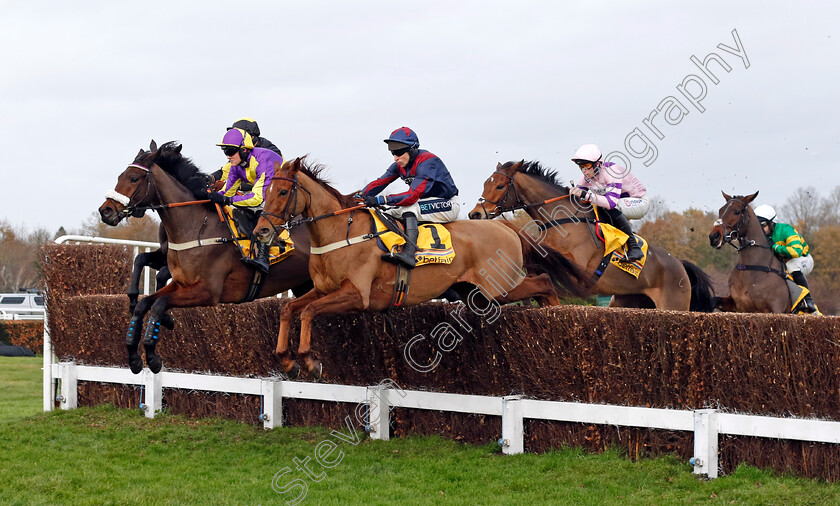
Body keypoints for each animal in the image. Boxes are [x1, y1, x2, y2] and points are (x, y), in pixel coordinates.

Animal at [98, 140, 314, 374]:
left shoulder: (207, 292)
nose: (106, 211)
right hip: (304, 284)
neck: (196, 226)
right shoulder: (179, 280)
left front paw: (153, 353)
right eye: (121, 176)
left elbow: (158, 303)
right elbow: (144, 299)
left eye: (134, 178)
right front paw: (134, 354)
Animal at [253, 156, 588, 378]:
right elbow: (289, 309)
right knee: (540, 285)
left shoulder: (356, 295)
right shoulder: (323, 290)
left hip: (499, 288)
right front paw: (286, 359)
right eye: (265, 192)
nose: (262, 231)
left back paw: (558, 318)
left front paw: (309, 360)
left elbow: (308, 313)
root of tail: (506, 227)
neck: (340, 232)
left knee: (544, 281)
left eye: (283, 192)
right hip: (476, 293)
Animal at [466, 162, 716, 312]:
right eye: (486, 183)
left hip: (673, 304)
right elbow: (535, 269)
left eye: (500, 186)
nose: (475, 214)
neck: (561, 220)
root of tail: (679, 264)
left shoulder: (578, 270)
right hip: (626, 301)